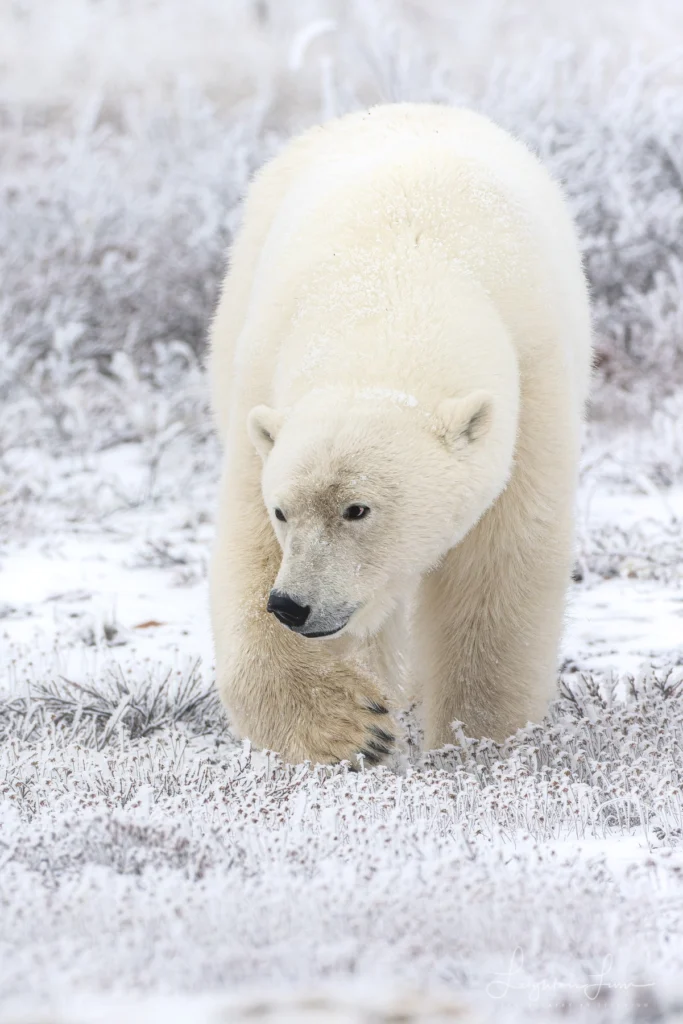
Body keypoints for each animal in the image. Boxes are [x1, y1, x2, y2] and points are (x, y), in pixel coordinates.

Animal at [208, 103, 592, 766]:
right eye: (283, 510)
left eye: (358, 508)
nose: (293, 605)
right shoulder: (260, 377)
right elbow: (248, 548)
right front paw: (352, 727)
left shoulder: (533, 383)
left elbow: (501, 568)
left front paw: (474, 742)